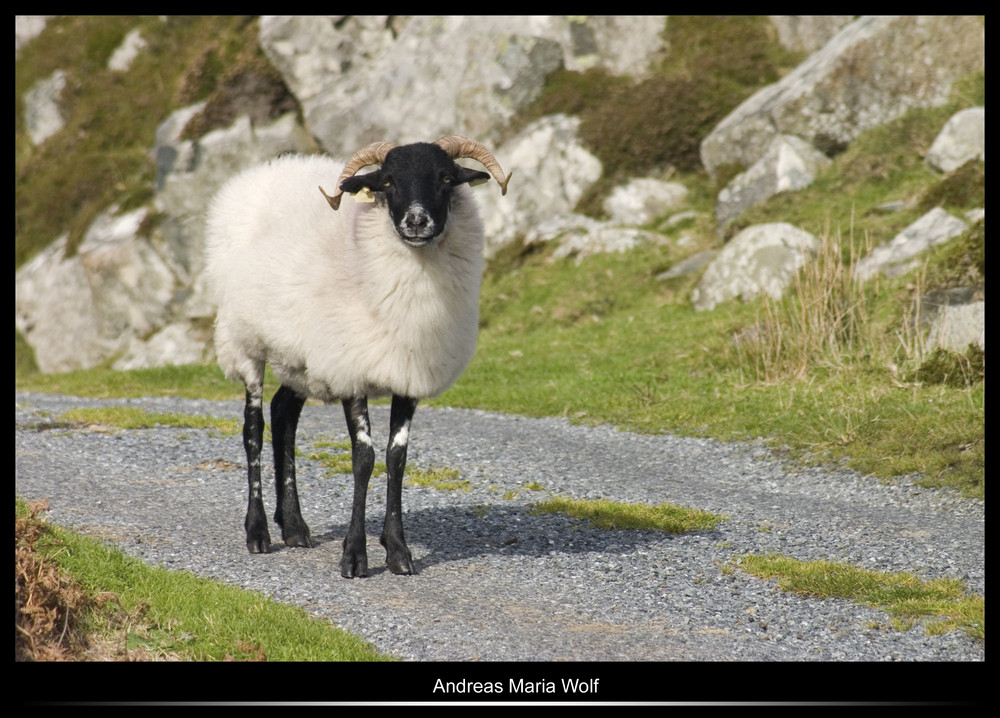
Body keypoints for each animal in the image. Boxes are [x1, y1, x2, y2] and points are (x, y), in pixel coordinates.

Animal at [206, 136, 512, 580]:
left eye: (446, 177)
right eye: (387, 182)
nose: (416, 221)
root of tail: (264, 170)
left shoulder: (408, 374)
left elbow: (396, 457)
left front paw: (398, 551)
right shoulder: (351, 369)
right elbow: (364, 458)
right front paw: (354, 555)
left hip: (302, 358)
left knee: (283, 415)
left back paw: (293, 526)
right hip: (245, 344)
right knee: (253, 428)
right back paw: (258, 531)